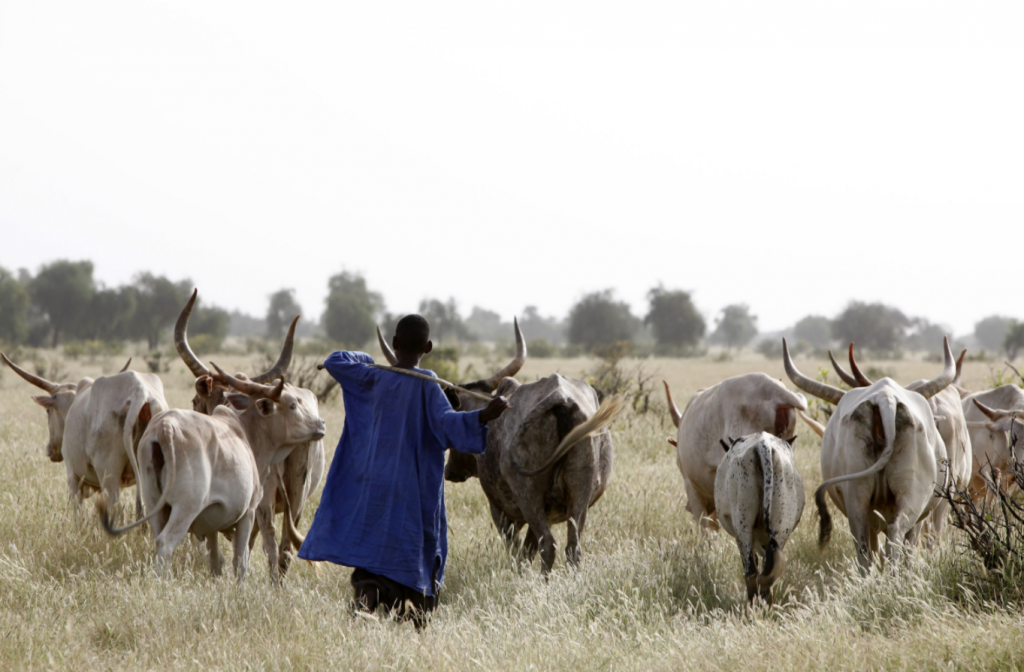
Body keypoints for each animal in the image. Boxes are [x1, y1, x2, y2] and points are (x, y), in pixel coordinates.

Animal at [2, 352, 165, 514]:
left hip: (109, 475)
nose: (49, 449)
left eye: (48, 411)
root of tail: (138, 392)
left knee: (116, 510)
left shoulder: (73, 477)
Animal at [782, 336, 950, 573]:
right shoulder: (918, 519)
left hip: (857, 496)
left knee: (863, 544)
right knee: (894, 535)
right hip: (912, 495)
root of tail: (886, 399)